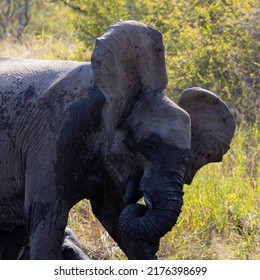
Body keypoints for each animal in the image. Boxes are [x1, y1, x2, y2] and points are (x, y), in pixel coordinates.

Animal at [0, 20, 236, 260]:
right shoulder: (56, 134)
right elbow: (47, 218)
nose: (143, 203)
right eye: (150, 145)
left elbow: (114, 216)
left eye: (188, 158)